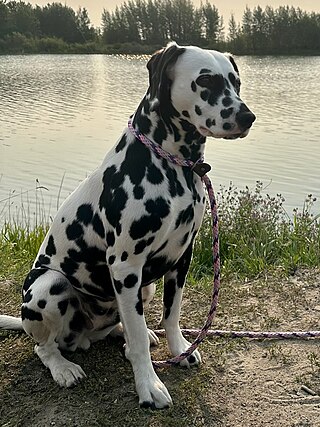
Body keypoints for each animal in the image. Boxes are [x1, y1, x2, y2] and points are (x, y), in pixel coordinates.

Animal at [0, 41, 255, 410]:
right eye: (205, 80)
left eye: (236, 82)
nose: (247, 117)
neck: (172, 166)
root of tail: (82, 337)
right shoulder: (126, 265)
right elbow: (140, 345)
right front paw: (149, 385)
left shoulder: (181, 257)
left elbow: (171, 315)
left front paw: (179, 350)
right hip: (49, 286)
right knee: (43, 347)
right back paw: (63, 367)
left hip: (142, 288)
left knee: (123, 325)